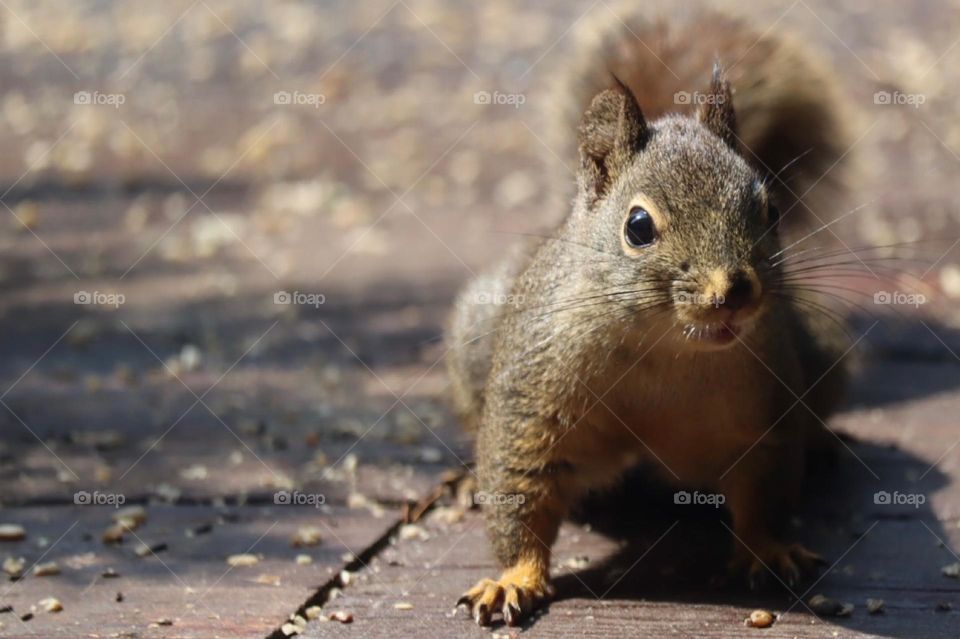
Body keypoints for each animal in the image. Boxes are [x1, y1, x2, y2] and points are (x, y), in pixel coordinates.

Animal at [448, 2, 856, 628]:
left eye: (772, 209)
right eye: (638, 227)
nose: (737, 290)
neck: (664, 348)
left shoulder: (769, 411)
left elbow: (766, 491)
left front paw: (767, 549)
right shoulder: (528, 403)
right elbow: (520, 489)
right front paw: (512, 578)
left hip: (821, 351)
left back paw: (826, 443)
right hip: (476, 337)